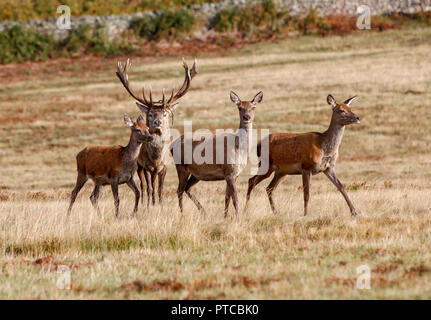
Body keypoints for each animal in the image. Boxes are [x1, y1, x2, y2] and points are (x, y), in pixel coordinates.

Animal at [115, 57, 198, 209]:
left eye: (165, 113)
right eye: (151, 114)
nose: (157, 122)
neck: (156, 159)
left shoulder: (164, 167)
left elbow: (160, 189)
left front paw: (160, 205)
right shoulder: (147, 167)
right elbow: (149, 188)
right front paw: (150, 206)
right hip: (139, 166)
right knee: (143, 186)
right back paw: (144, 202)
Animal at [171, 90, 264, 218]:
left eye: (253, 107)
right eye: (239, 107)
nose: (247, 117)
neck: (239, 149)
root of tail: (171, 146)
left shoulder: (233, 174)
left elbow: (227, 198)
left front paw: (225, 217)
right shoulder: (229, 171)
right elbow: (235, 199)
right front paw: (238, 218)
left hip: (196, 174)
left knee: (187, 188)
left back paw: (203, 212)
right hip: (181, 167)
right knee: (179, 190)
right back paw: (183, 215)